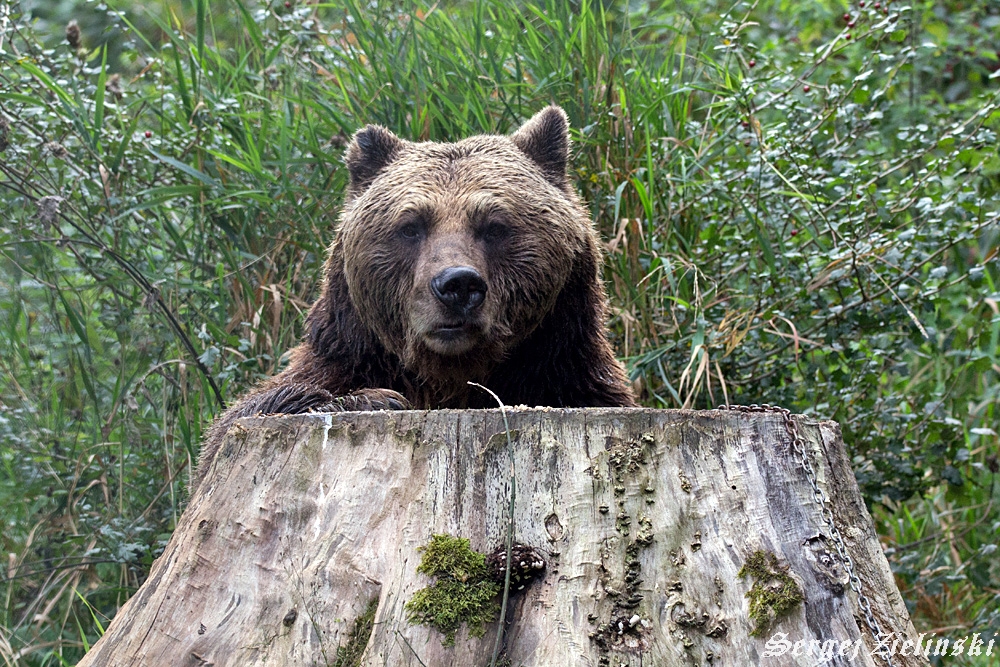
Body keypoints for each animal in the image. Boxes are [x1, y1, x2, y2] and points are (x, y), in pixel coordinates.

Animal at [193, 107, 632, 488]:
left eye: (494, 226)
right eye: (410, 226)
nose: (457, 285)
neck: (447, 380)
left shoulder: (568, 375)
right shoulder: (340, 359)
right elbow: (241, 420)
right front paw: (373, 399)